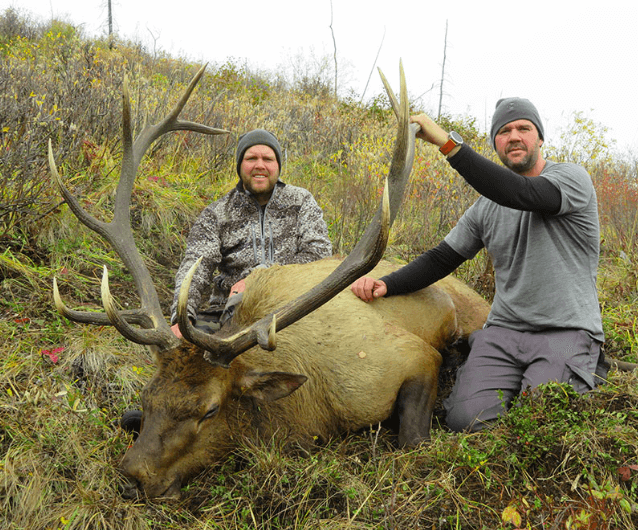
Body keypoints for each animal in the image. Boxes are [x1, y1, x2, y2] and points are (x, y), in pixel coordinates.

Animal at [53, 64, 496, 498]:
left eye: (209, 409)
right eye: (148, 396)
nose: (133, 476)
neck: (310, 409)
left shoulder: (410, 359)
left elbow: (411, 439)